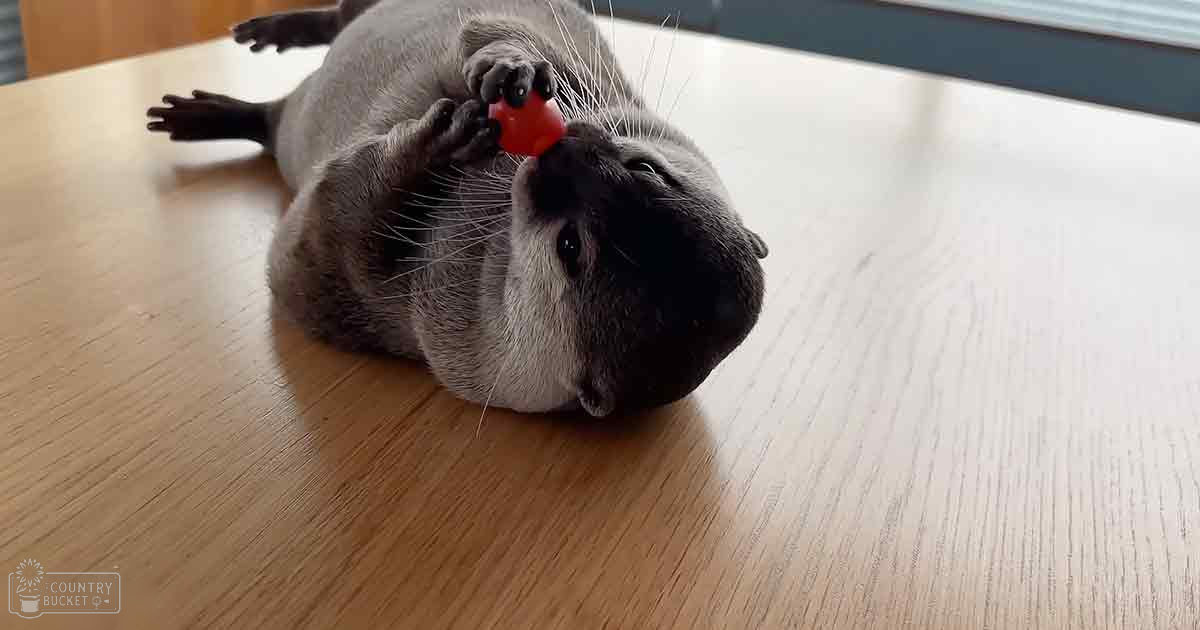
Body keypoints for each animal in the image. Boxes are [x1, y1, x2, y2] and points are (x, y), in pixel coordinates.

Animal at [147, 0, 767, 417]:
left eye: (570, 246)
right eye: (646, 168)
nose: (564, 150)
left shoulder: (388, 316)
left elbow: (321, 236)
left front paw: (433, 145)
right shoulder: (604, 86)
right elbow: (503, 29)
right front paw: (512, 69)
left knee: (275, 121)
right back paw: (266, 39)